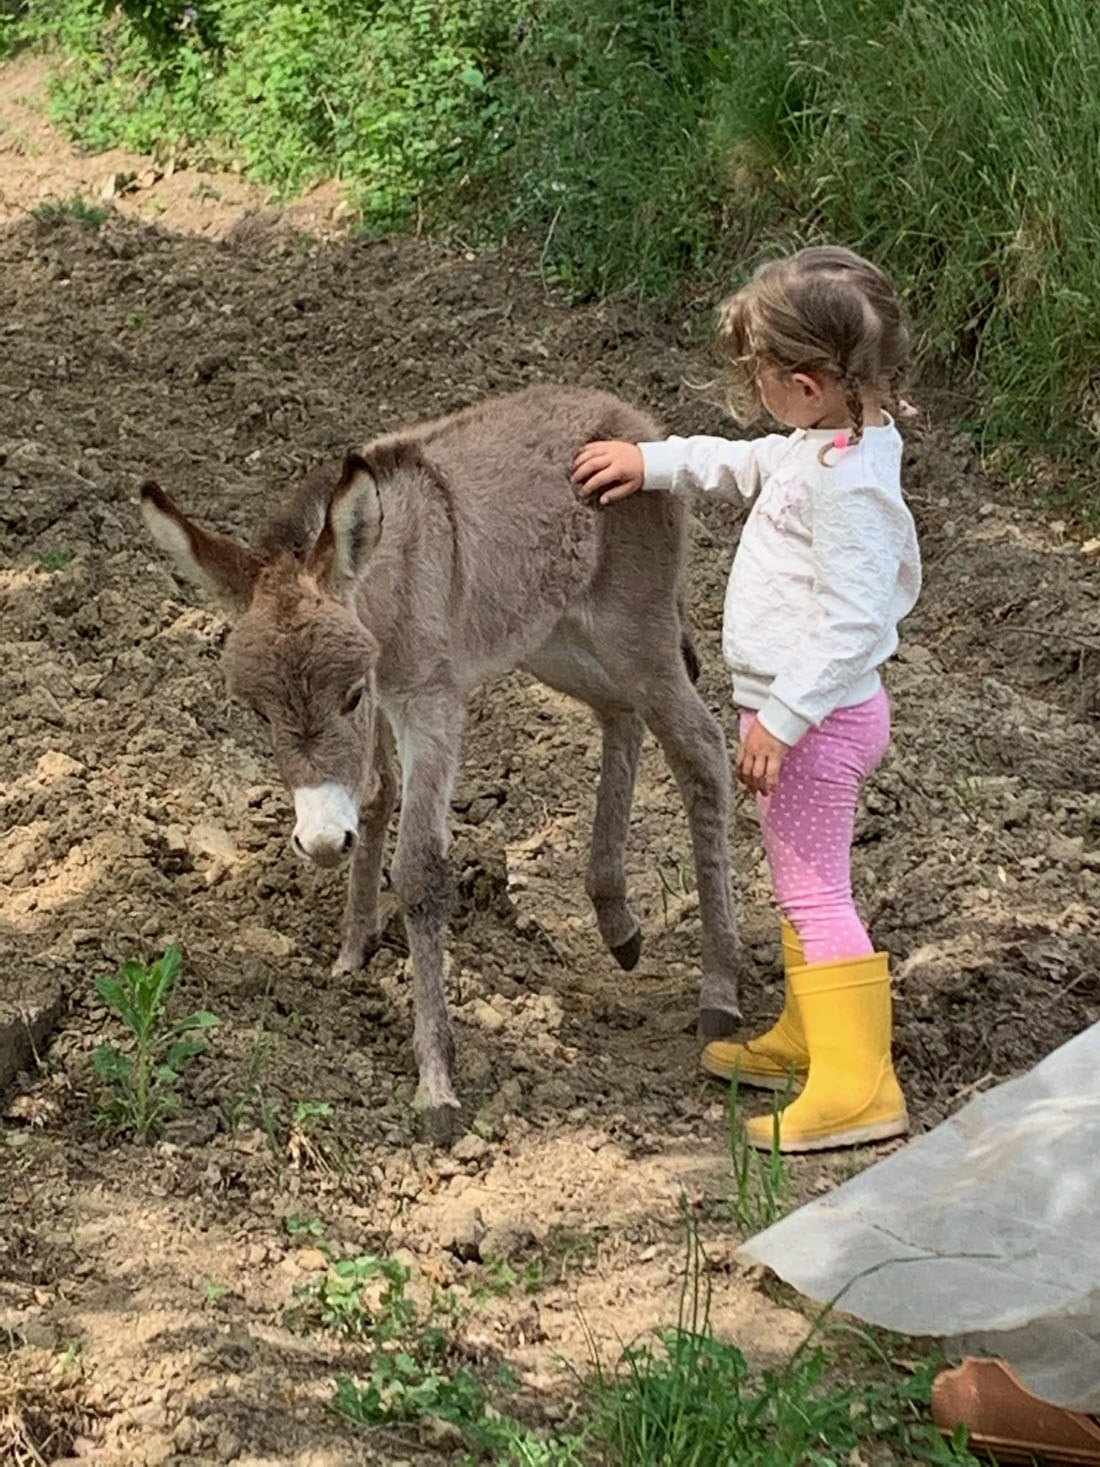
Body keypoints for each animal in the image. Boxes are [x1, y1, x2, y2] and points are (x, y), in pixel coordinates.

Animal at [140, 383, 745, 1141]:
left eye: (348, 694)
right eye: (256, 713)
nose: (320, 843)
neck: (387, 582)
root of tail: (625, 414)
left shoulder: (427, 701)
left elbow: (421, 868)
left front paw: (435, 1083)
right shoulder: (386, 702)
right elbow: (373, 797)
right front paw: (351, 952)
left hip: (636, 631)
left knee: (701, 751)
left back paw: (720, 991)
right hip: (550, 638)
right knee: (620, 714)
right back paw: (616, 919)